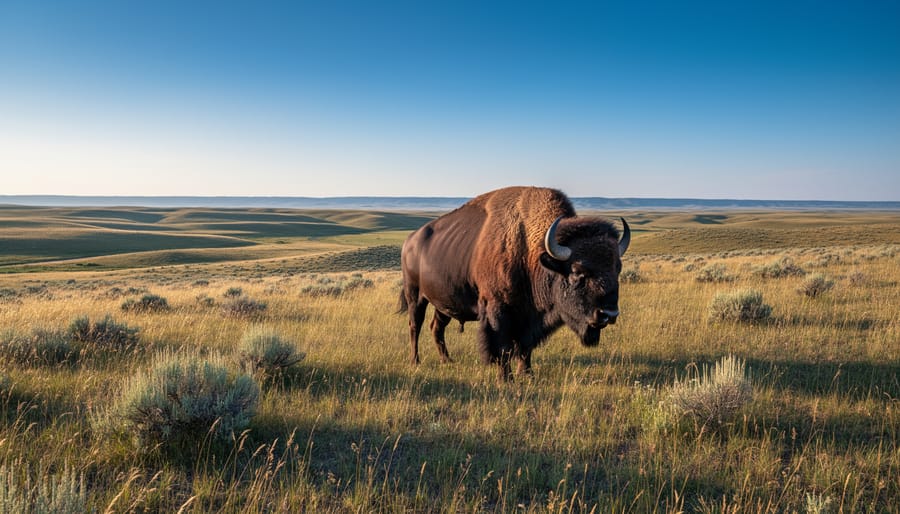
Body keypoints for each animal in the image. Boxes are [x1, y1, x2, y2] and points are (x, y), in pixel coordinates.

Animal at [399, 186, 630, 380]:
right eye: (576, 271)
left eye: (617, 268)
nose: (609, 314)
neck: (529, 251)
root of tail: (409, 241)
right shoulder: (498, 310)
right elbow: (503, 347)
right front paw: (506, 379)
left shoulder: (528, 317)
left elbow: (525, 347)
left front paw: (527, 374)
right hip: (415, 296)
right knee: (415, 326)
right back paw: (415, 361)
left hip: (443, 303)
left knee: (436, 328)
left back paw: (447, 360)